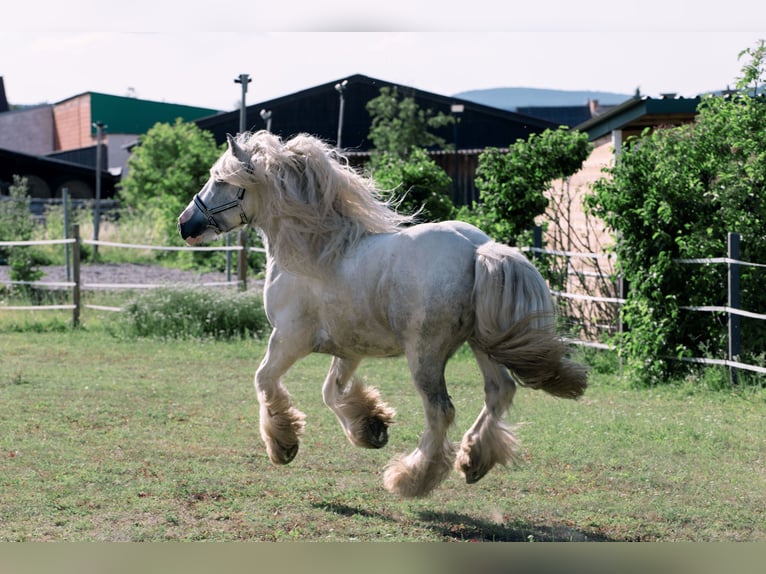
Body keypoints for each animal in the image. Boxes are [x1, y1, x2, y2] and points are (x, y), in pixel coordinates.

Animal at [178, 132, 588, 500]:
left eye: (220, 181)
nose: (185, 224)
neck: (314, 250)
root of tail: (480, 249)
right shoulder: (348, 349)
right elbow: (331, 392)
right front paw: (371, 428)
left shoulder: (289, 339)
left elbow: (264, 380)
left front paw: (284, 446)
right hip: (481, 342)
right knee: (498, 391)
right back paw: (472, 461)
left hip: (425, 353)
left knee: (441, 411)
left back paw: (410, 479)